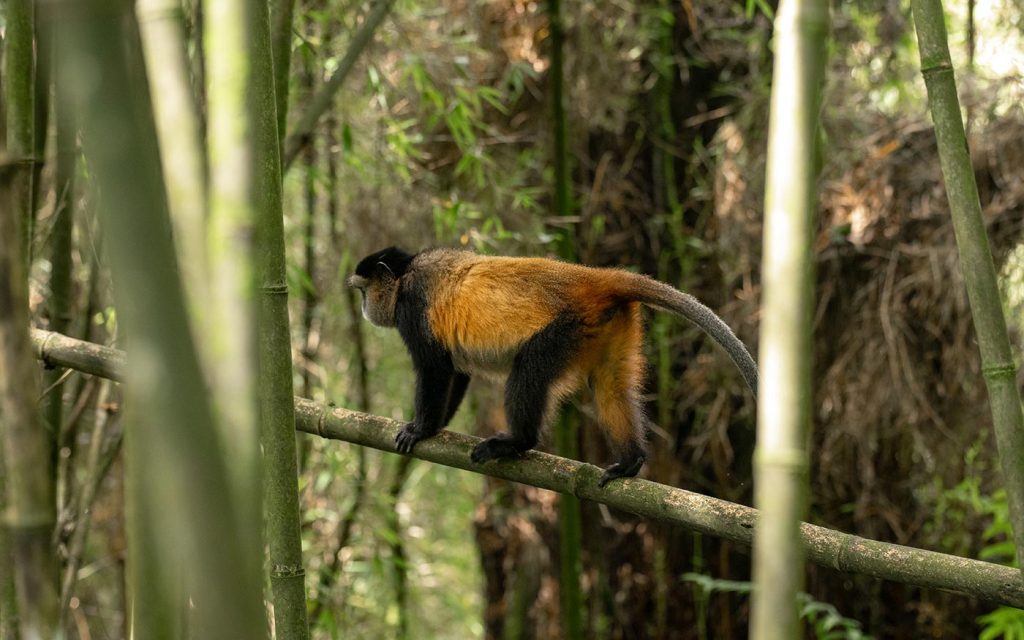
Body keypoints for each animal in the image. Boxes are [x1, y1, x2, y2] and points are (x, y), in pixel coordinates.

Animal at [348, 246, 757, 487]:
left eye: (363, 290)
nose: (363, 307)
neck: (406, 273)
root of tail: (591, 278)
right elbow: (456, 369)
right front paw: (435, 429)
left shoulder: (412, 307)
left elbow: (436, 368)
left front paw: (421, 430)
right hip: (609, 325)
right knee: (610, 386)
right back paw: (630, 461)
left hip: (566, 328)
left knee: (528, 370)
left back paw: (517, 443)